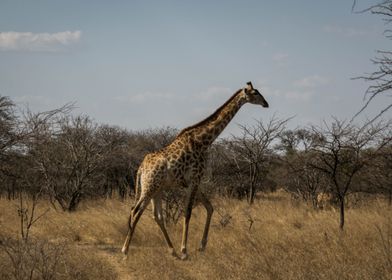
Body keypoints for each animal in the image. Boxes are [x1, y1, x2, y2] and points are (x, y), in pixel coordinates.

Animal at [121, 81, 270, 260]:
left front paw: (201, 246)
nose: (266, 104)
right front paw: (185, 251)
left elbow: (210, 207)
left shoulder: (192, 181)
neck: (204, 140)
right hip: (149, 186)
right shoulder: (195, 178)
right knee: (135, 211)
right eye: (255, 93)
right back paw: (125, 251)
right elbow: (188, 212)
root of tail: (141, 168)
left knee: (156, 216)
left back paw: (172, 251)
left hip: (157, 189)